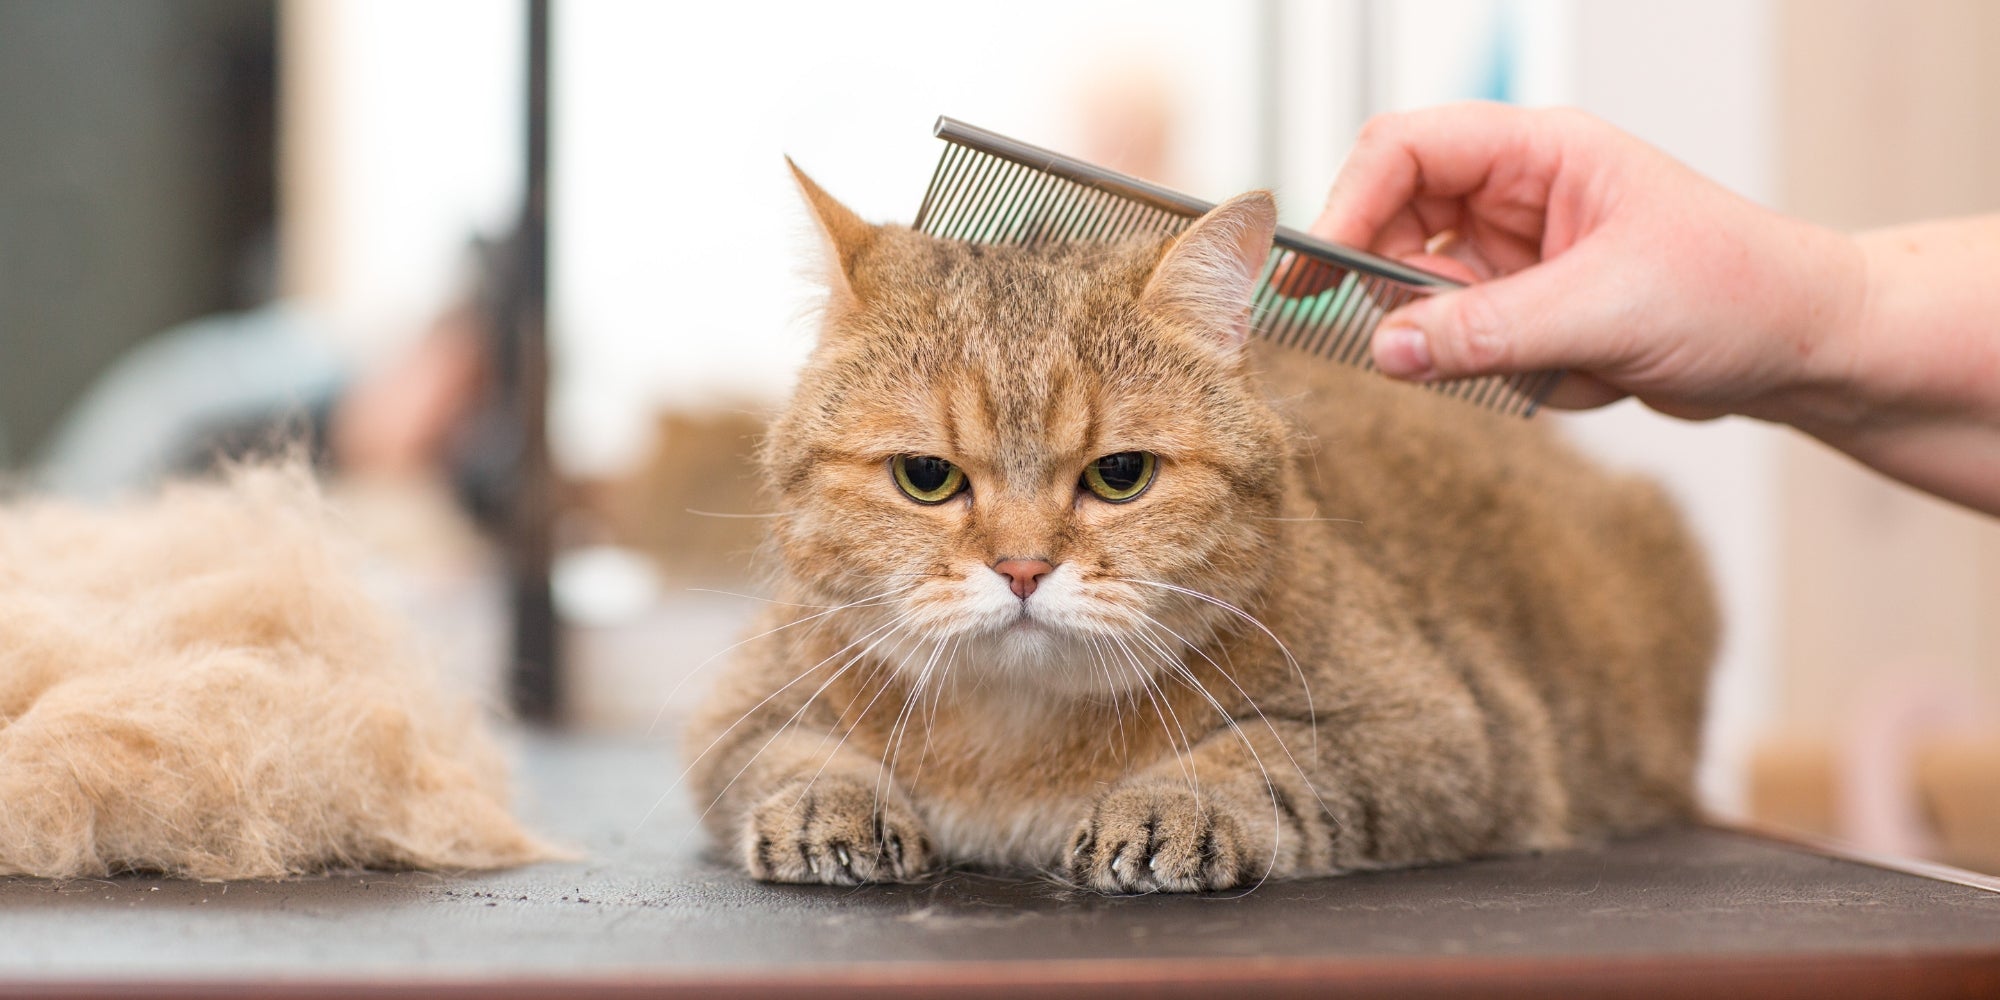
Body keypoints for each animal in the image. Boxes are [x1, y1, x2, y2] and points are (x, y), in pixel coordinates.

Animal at [680, 164, 1712, 892]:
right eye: (927, 478)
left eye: (1120, 475)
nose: (1022, 568)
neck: (1013, 746)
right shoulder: (735, 713)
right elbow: (787, 752)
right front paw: (829, 796)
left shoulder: (1447, 731)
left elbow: (1265, 756)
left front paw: (1177, 798)